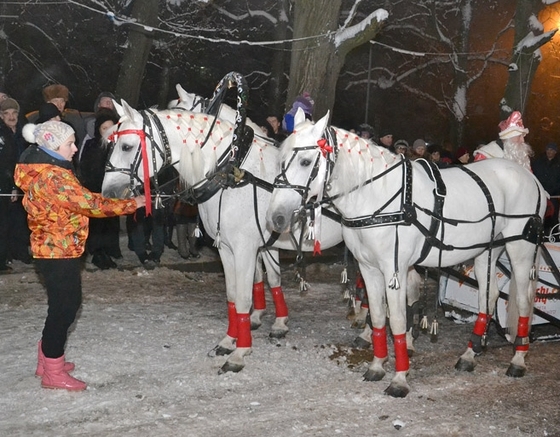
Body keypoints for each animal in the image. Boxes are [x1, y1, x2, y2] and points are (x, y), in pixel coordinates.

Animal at [266, 109, 548, 396]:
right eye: (280, 160)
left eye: (305, 161)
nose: (276, 217)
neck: (378, 197)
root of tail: (529, 177)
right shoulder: (369, 269)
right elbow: (379, 317)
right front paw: (377, 365)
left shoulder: (395, 271)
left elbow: (398, 322)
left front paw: (399, 378)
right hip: (486, 250)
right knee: (488, 297)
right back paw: (470, 354)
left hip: (521, 248)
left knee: (523, 300)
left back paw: (518, 359)